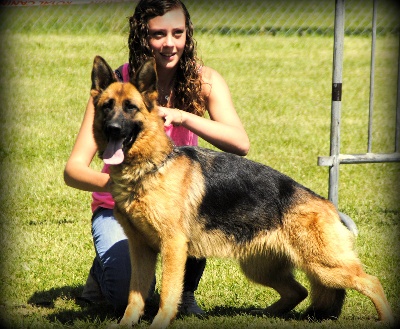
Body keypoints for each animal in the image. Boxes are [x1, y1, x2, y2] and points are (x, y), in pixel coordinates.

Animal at [90, 55, 394, 326]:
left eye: (131, 107)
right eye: (107, 106)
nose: (113, 128)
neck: (151, 167)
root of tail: (326, 204)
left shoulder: (173, 248)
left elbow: (168, 294)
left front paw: (159, 324)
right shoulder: (141, 249)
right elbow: (135, 296)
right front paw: (126, 324)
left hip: (323, 265)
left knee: (371, 282)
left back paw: (384, 318)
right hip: (261, 267)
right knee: (299, 291)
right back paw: (265, 314)